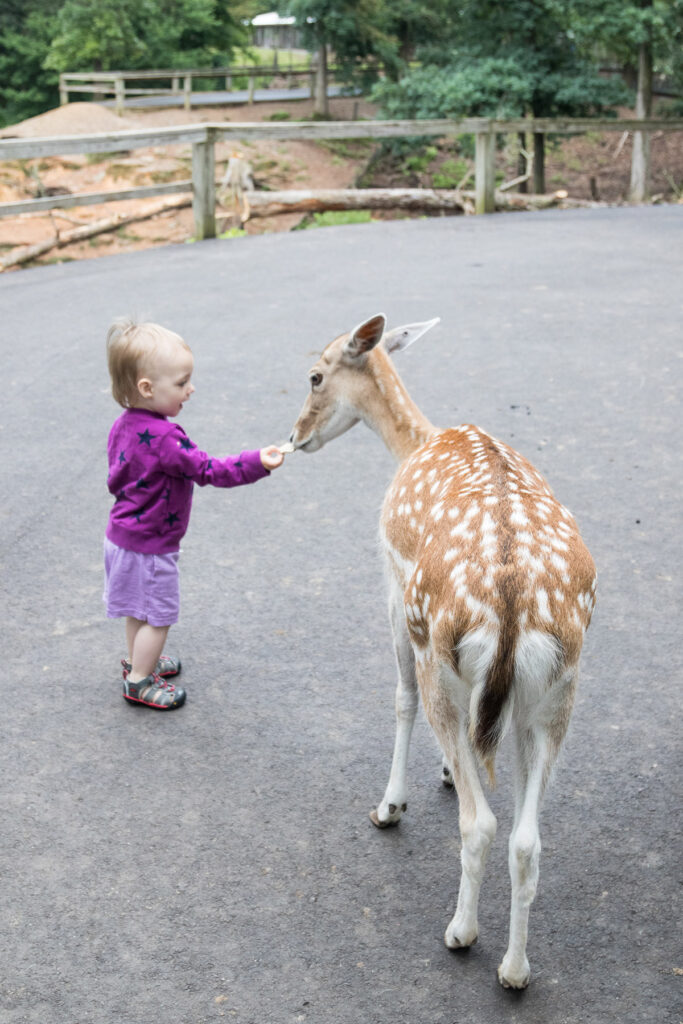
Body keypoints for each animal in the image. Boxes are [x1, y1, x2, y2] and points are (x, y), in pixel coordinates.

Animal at [290, 313, 593, 991]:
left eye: (315, 375)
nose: (294, 437)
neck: (412, 443)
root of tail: (512, 607)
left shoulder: (392, 587)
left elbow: (399, 696)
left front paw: (389, 805)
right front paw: (452, 772)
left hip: (442, 651)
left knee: (480, 822)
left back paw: (461, 933)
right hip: (556, 691)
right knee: (527, 839)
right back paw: (515, 969)